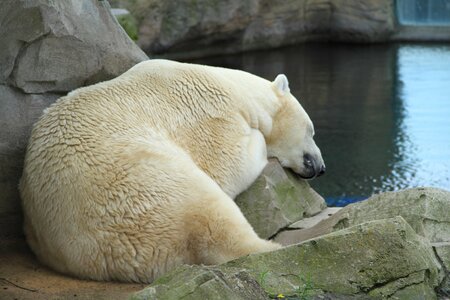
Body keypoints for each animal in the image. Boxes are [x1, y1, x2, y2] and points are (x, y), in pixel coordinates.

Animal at [20, 59, 324, 284]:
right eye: (311, 130)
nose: (321, 167)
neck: (236, 90)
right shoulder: (210, 114)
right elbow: (230, 160)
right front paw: (259, 141)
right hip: (149, 186)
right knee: (211, 212)